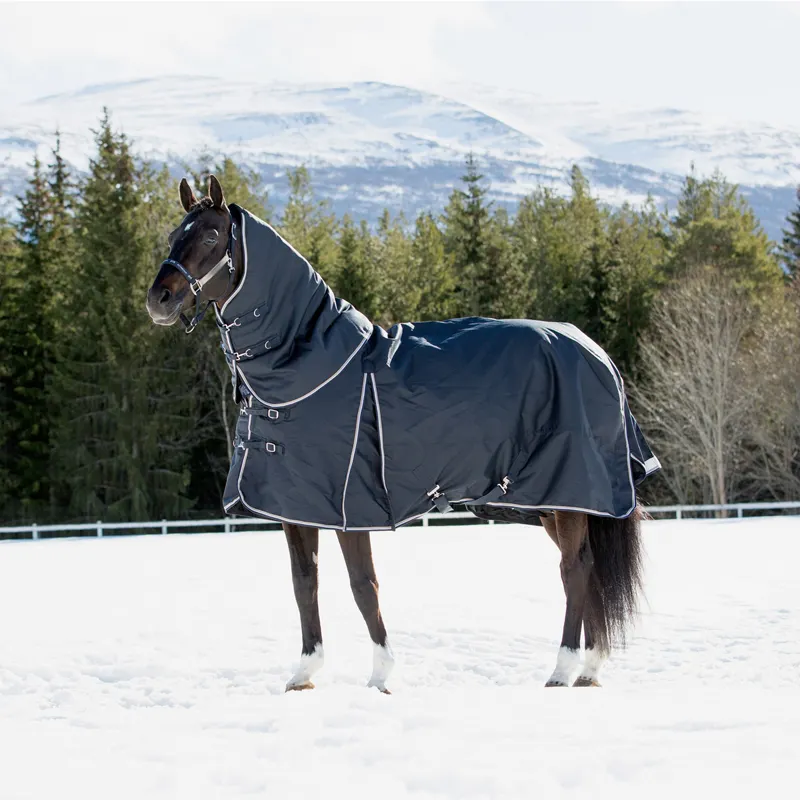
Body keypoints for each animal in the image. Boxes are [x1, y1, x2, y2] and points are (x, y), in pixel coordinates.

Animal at [146, 175, 657, 693]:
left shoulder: (347, 508)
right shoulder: (294, 506)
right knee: (589, 570)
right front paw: (305, 672)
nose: (158, 300)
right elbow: (304, 582)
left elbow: (362, 585)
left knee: (574, 570)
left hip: (568, 494)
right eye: (172, 234)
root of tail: (597, 353)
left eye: (211, 236)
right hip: (556, 502)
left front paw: (380, 675)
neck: (311, 366)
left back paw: (563, 668)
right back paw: (589, 668)